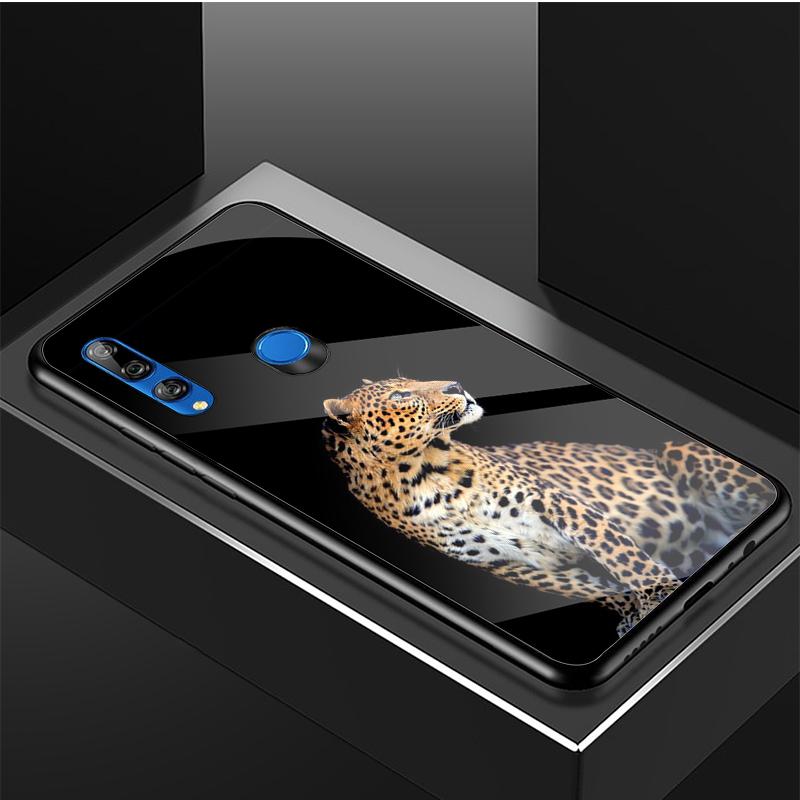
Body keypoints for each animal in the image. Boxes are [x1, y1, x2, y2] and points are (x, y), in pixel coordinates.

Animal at [322, 378, 775, 637]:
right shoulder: (517, 565)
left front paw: (656, 598)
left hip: (681, 452)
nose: (456, 385)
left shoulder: (556, 502)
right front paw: (641, 612)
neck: (423, 471)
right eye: (402, 394)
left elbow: (622, 556)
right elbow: (594, 587)